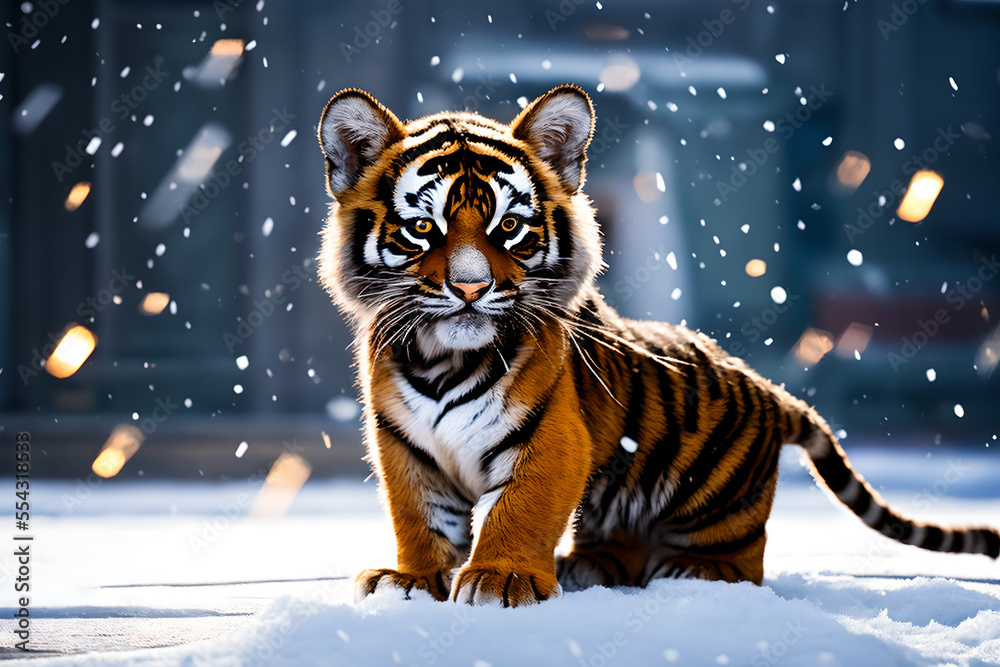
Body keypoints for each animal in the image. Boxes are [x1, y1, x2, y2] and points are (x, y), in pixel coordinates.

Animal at [316, 83, 999, 607]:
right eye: (422, 228)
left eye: (508, 227)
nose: (470, 286)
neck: (442, 358)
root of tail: (776, 394)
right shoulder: (405, 446)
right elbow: (419, 519)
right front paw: (413, 580)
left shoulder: (553, 437)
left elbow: (520, 509)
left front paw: (498, 579)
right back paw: (586, 567)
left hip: (716, 498)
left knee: (742, 562)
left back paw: (690, 573)